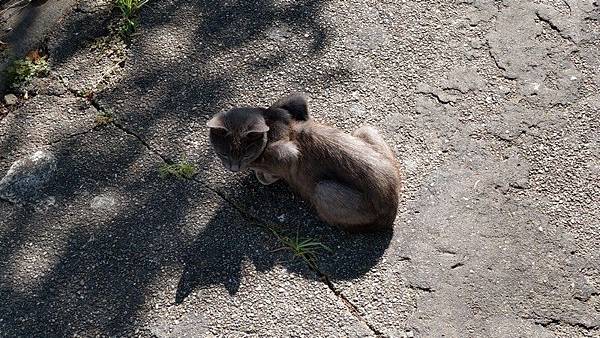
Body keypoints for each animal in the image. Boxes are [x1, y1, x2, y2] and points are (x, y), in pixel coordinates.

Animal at [209, 94, 400, 232]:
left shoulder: (287, 153)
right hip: (365, 129)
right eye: (223, 154)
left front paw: (263, 174)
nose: (234, 167)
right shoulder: (291, 104)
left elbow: (273, 168)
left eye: (245, 154)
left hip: (323, 189)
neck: (270, 123)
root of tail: (392, 210)